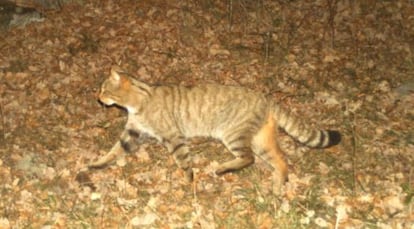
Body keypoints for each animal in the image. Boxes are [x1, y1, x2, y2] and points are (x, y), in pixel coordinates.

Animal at [89, 66, 342, 191]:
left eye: (104, 89)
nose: (97, 97)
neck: (137, 102)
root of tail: (266, 98)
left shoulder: (173, 136)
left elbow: (184, 161)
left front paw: (189, 181)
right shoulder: (132, 133)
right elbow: (113, 152)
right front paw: (96, 165)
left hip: (233, 135)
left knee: (249, 158)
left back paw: (222, 169)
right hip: (261, 139)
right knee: (280, 159)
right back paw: (278, 188)